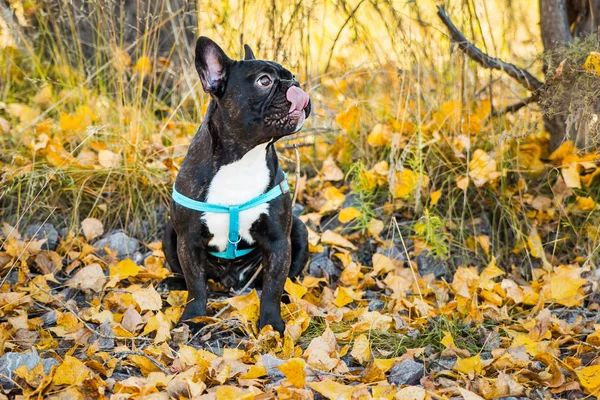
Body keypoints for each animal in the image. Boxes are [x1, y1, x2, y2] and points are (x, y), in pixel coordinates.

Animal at [164, 36, 312, 334]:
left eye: (291, 75)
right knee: (188, 276)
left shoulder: (279, 241)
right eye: (264, 81)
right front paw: (192, 318)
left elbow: (272, 287)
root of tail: (231, 282)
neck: (244, 157)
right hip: (169, 234)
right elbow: (196, 287)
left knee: (284, 279)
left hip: (299, 230)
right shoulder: (188, 240)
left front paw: (271, 325)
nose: (295, 84)